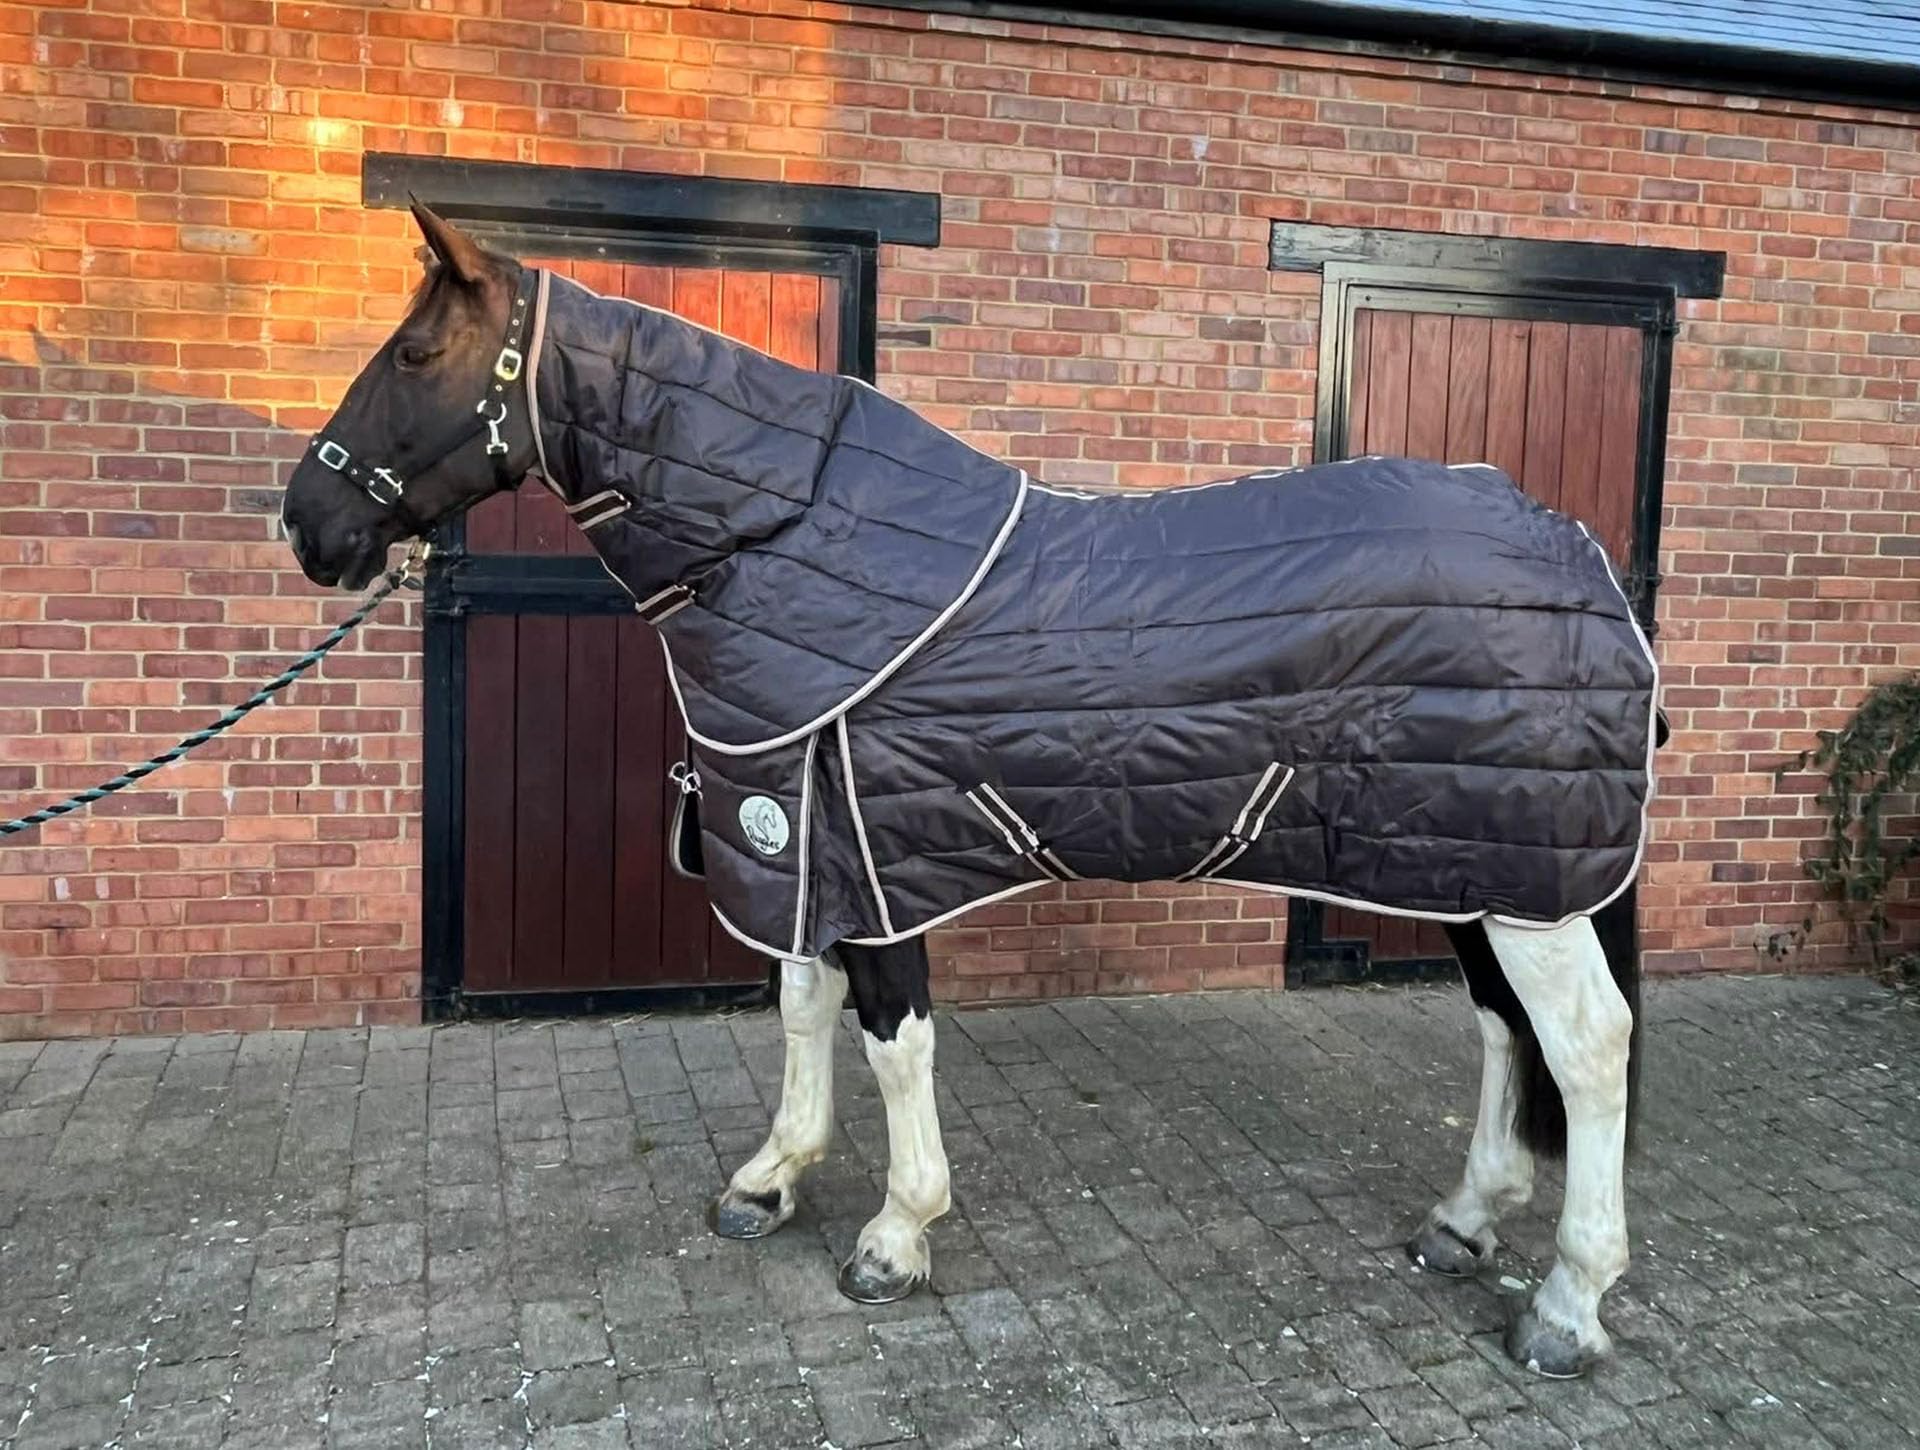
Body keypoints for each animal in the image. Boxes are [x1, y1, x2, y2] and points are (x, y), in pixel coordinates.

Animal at [282, 205, 1657, 1379]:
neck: (788, 544)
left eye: (414, 351)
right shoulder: (799, 836)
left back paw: (1568, 1304)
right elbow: (800, 1009)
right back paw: (1465, 1221)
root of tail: (1579, 557)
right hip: (1465, 864)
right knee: (1502, 1027)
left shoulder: (875, 855)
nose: (307, 524)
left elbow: (894, 1044)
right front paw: (771, 1179)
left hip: (1521, 881)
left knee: (1589, 1046)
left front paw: (895, 1235)